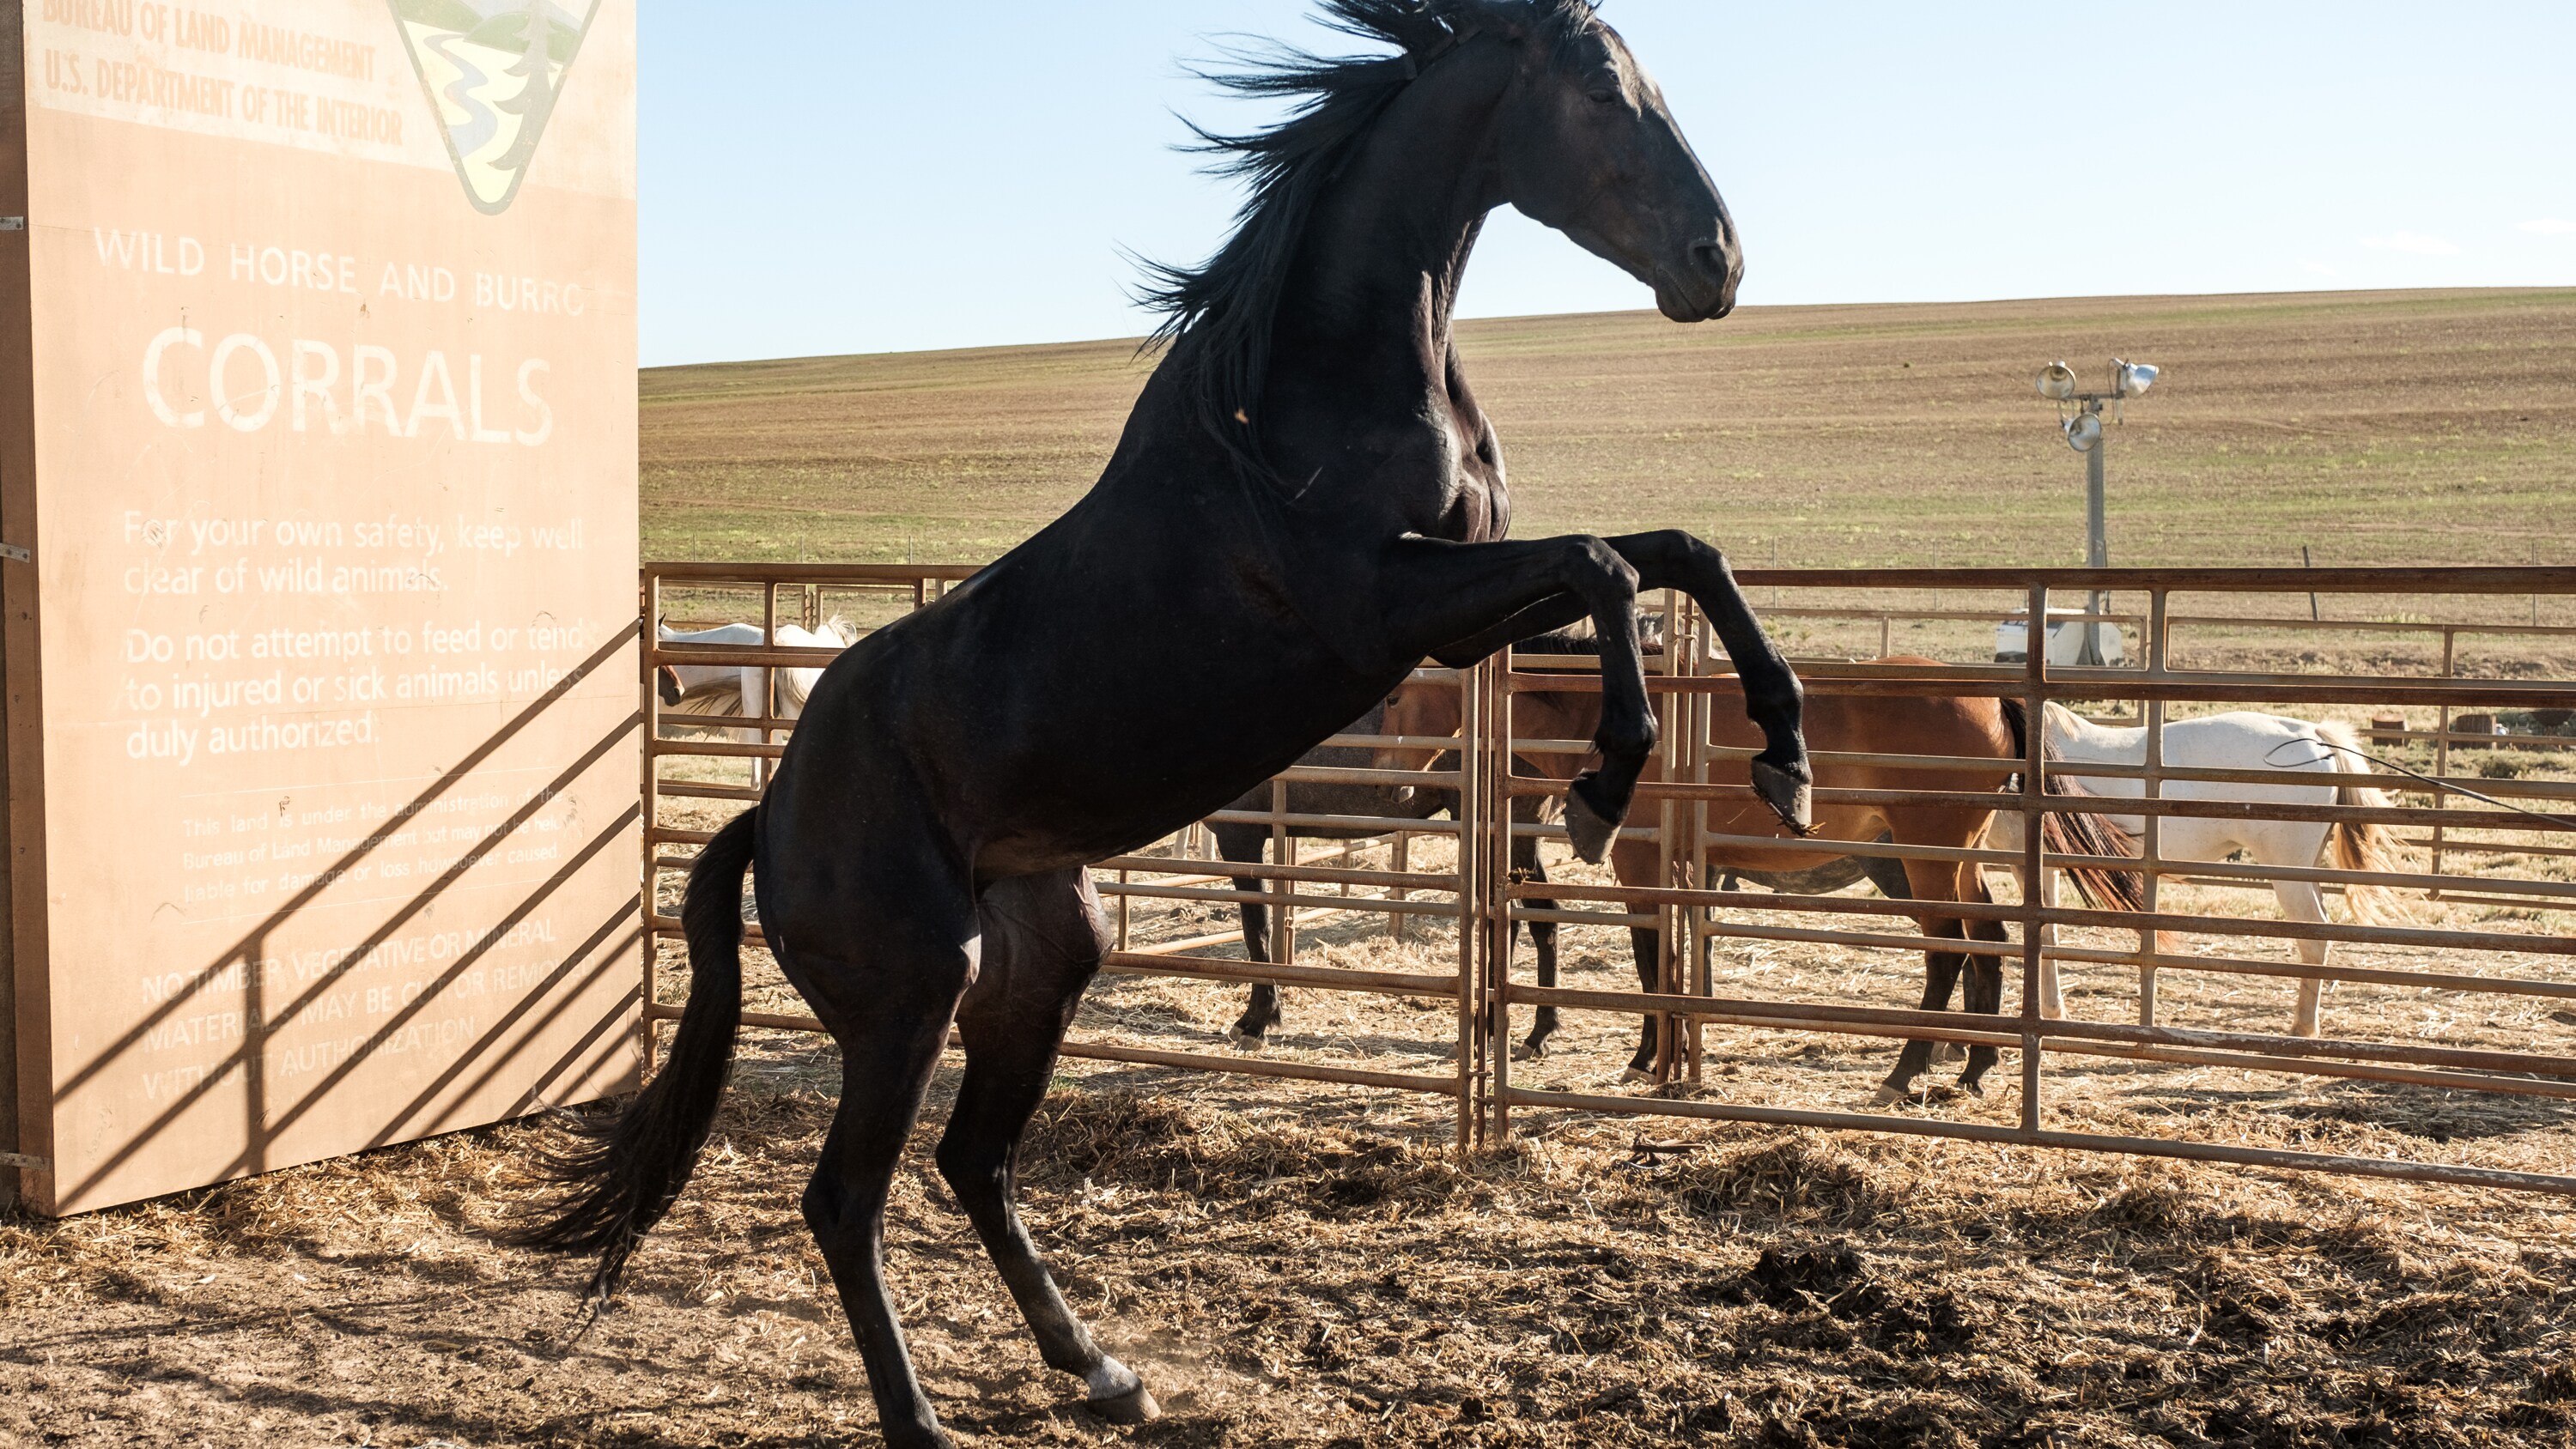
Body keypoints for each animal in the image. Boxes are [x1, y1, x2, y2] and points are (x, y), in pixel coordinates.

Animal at [513, 5, 1814, 1441]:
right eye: (1596, 91)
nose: (1716, 262)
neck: (1310, 385)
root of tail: (770, 814)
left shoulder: (1461, 615)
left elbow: (1671, 553)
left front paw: (1785, 754)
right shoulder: (1384, 603)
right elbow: (1604, 564)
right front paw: (1605, 786)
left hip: (1043, 965)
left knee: (976, 1162)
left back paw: (1101, 1369)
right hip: (911, 995)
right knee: (847, 1200)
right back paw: (925, 1416)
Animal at [1381, 651, 2143, 1096]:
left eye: (1392, 698)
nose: (1398, 786)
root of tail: (1985, 694)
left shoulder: (1640, 865)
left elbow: (1650, 962)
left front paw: (1646, 1058)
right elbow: (1675, 959)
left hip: (1924, 857)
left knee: (1946, 951)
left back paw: (1905, 1070)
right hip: (1954, 857)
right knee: (1986, 939)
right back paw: (1972, 1067)